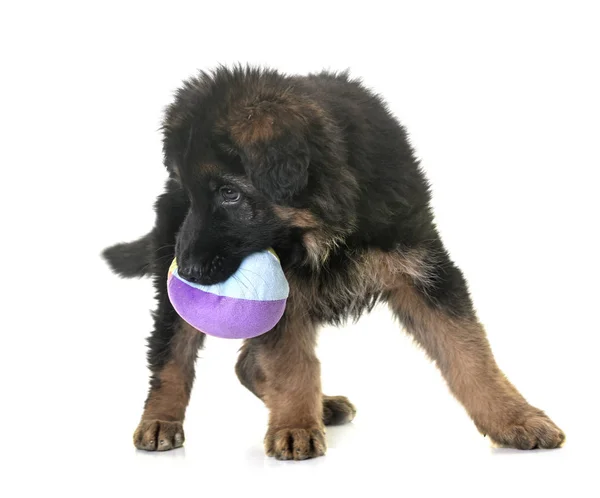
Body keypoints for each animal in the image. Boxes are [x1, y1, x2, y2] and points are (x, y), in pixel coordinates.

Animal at [102, 65, 564, 460]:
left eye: (229, 193)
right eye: (191, 195)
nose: (188, 272)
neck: (329, 221)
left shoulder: (424, 267)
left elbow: (469, 351)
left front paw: (514, 418)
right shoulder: (284, 292)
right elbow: (291, 363)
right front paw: (294, 425)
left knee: (244, 364)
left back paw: (321, 406)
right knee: (171, 354)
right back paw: (161, 420)